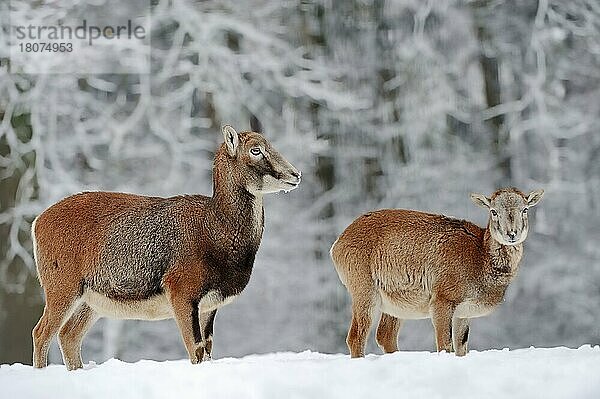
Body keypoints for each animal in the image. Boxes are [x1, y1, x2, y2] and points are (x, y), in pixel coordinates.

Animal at [31, 126, 300, 370]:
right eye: (256, 150)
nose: (296, 174)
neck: (214, 232)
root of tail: (37, 223)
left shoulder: (210, 305)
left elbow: (208, 350)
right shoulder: (181, 291)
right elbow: (196, 350)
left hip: (90, 301)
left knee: (68, 335)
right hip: (61, 287)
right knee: (41, 332)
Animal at [330, 188, 548, 360]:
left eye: (525, 209)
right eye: (493, 211)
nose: (511, 234)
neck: (480, 256)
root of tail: (338, 243)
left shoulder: (463, 313)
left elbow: (461, 347)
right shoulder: (442, 301)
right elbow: (445, 345)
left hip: (394, 306)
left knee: (385, 336)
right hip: (364, 292)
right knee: (356, 337)